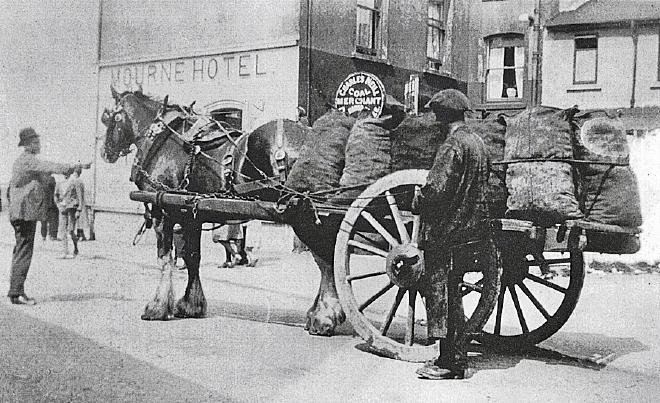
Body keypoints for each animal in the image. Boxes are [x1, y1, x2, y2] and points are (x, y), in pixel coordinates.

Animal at [100, 87, 346, 334]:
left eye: (109, 117)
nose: (104, 152)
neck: (164, 138)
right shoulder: (191, 215)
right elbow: (192, 257)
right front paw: (191, 304)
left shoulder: (163, 213)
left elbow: (165, 260)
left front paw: (157, 307)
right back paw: (318, 312)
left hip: (306, 215)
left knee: (326, 261)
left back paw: (324, 316)